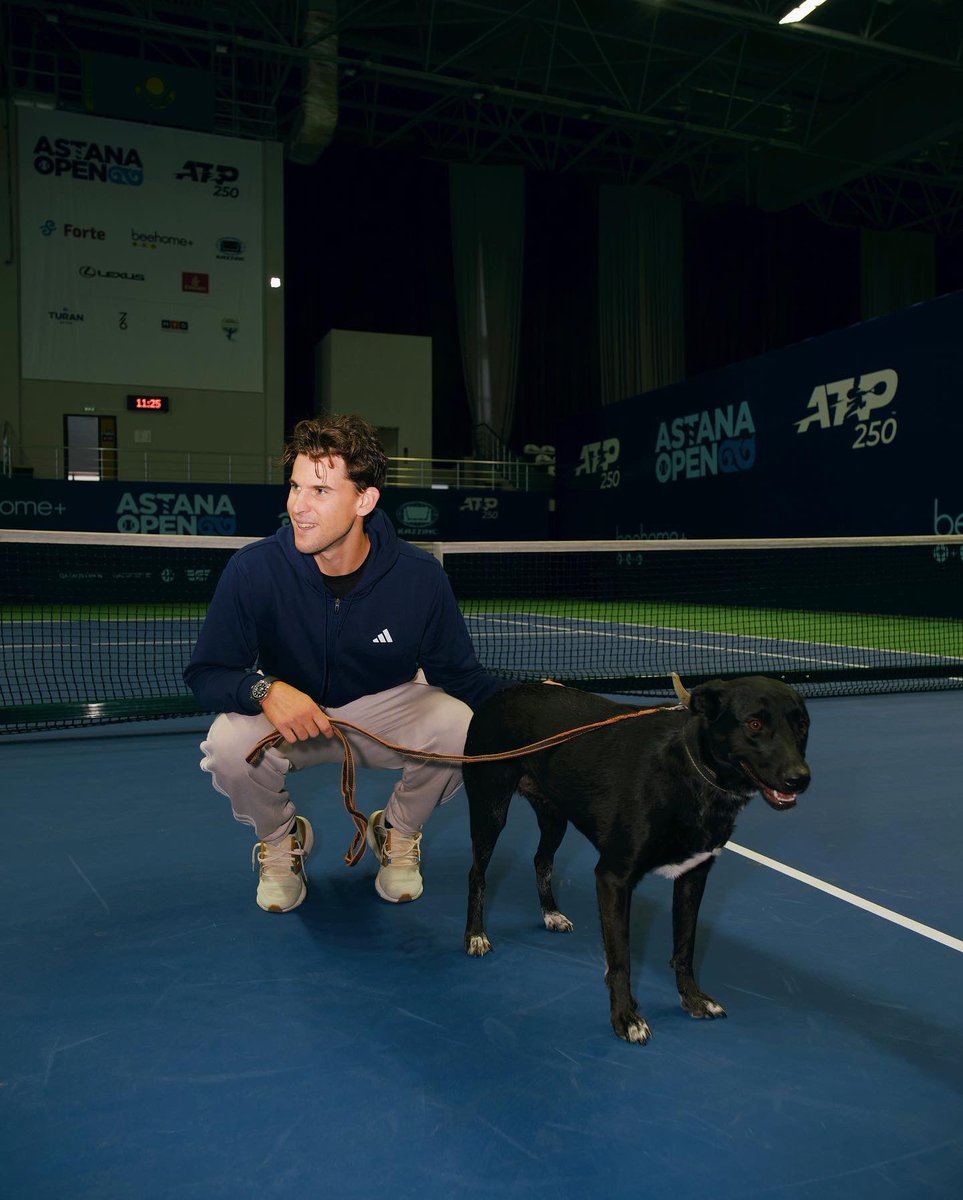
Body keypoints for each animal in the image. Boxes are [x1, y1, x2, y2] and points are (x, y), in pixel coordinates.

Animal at [461, 676, 806, 1041]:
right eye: (755, 724)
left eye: (802, 725)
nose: (800, 778)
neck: (691, 772)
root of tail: (501, 693)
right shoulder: (613, 878)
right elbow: (621, 959)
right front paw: (625, 1017)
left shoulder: (693, 876)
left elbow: (685, 948)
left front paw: (693, 999)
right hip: (490, 811)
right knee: (477, 874)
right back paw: (476, 934)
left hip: (554, 815)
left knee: (542, 861)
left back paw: (551, 913)